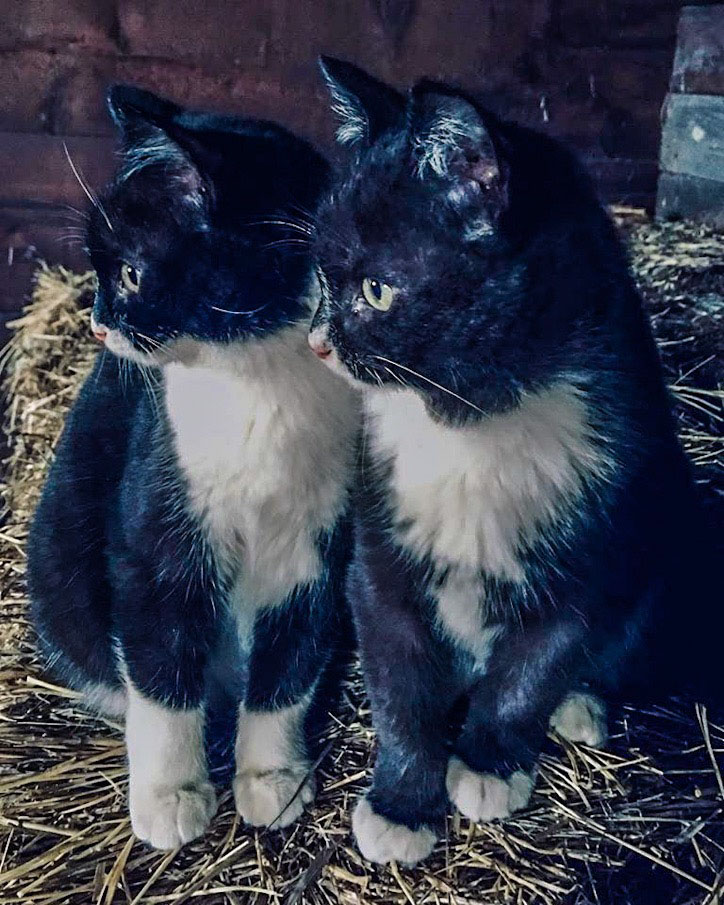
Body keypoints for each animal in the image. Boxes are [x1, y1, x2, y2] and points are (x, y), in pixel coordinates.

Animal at [26, 85, 360, 848]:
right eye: (97, 271)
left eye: (130, 273)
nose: (98, 322)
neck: (253, 381)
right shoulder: (156, 533)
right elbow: (160, 667)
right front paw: (171, 794)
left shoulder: (316, 542)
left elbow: (290, 662)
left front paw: (272, 778)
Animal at [306, 60, 720, 864]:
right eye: (320, 275)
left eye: (376, 289)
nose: (317, 342)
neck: (470, 423)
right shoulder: (379, 545)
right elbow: (399, 681)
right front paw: (402, 802)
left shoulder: (599, 530)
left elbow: (536, 663)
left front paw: (492, 761)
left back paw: (583, 705)